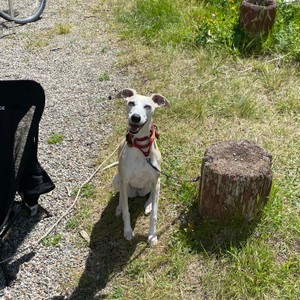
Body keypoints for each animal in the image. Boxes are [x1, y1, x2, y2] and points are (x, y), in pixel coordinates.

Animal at [112, 88, 170, 245]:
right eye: (131, 103)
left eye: (148, 106)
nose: (135, 118)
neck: (140, 147)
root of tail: (137, 192)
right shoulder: (124, 180)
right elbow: (126, 210)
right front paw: (127, 231)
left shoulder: (155, 179)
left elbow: (155, 214)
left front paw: (152, 235)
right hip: (117, 180)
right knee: (121, 197)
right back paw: (119, 208)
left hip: (157, 182)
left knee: (152, 194)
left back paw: (148, 204)